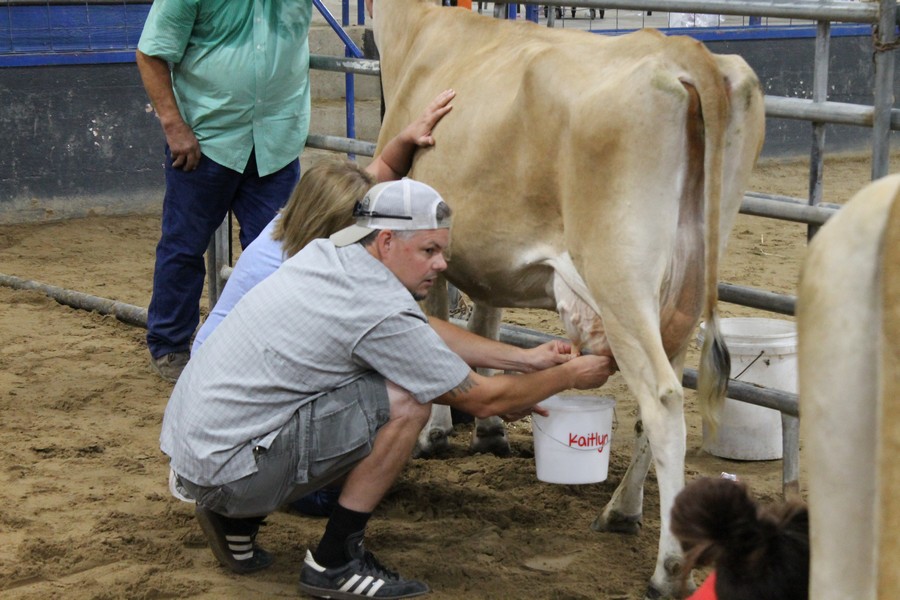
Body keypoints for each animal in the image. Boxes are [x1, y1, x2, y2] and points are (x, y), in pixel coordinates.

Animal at [370, 2, 764, 596]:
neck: (415, 34)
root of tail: (682, 50)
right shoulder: (487, 259)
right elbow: (485, 324)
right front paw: (488, 431)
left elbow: (436, 322)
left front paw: (435, 433)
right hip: (688, 280)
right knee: (666, 392)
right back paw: (622, 511)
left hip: (618, 271)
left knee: (664, 401)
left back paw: (668, 569)